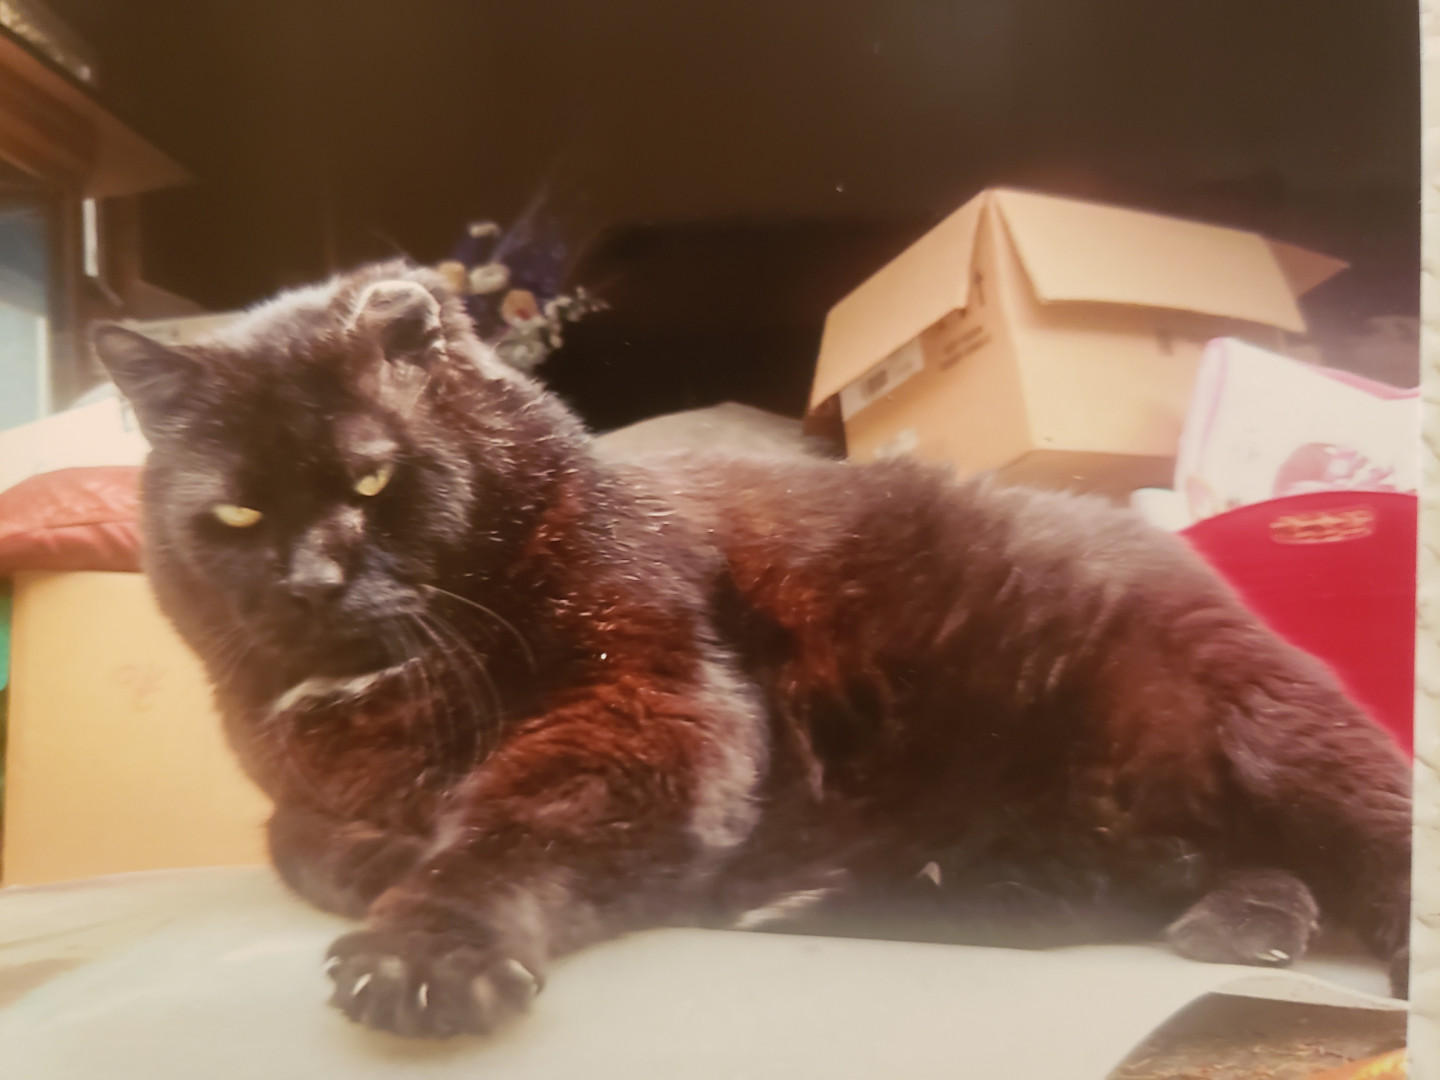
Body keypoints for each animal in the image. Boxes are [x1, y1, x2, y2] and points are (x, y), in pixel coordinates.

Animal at [93, 261, 1412, 1039]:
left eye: (370, 477)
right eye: (236, 517)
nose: (312, 580)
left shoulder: (650, 701)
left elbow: (513, 821)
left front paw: (427, 943)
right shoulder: (293, 778)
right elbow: (291, 836)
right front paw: (379, 860)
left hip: (1278, 732)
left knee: (1377, 846)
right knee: (1132, 880)